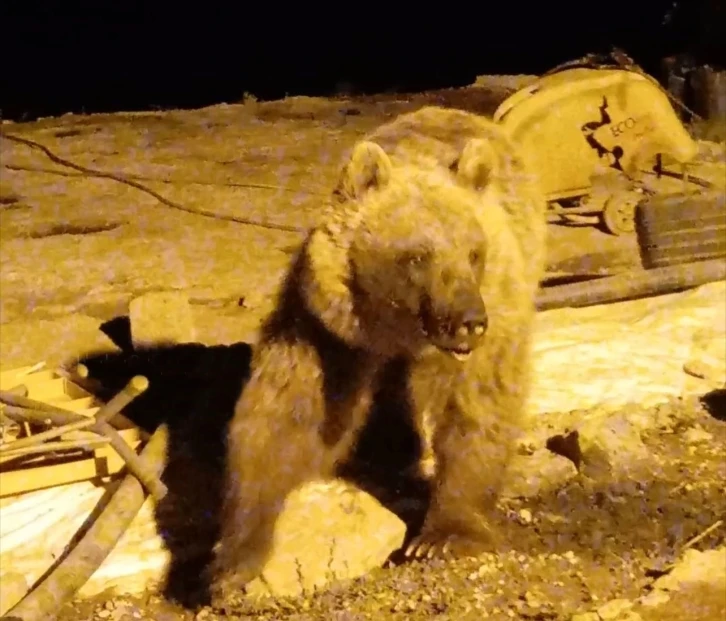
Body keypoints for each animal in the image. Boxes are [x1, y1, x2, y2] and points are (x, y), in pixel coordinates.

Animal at [213, 105, 548, 596]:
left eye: (474, 253)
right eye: (418, 256)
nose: (470, 320)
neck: (396, 331)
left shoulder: (498, 307)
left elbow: (477, 404)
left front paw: (445, 536)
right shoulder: (326, 329)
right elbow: (286, 415)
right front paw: (234, 560)